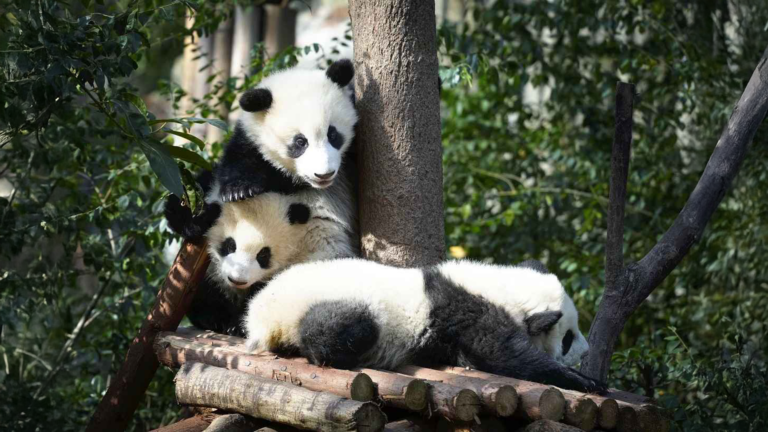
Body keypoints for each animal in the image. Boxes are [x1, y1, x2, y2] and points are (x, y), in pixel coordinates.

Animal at [243, 258, 607, 394]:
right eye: (568, 337)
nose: (587, 349)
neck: (505, 288)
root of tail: (258, 315)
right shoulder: (467, 311)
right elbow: (504, 353)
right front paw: (585, 381)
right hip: (329, 304)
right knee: (340, 330)